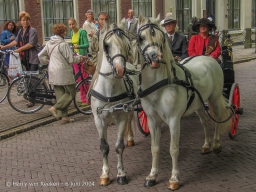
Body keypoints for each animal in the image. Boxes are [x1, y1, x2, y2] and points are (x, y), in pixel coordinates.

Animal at [89, 22, 138, 186]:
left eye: (127, 45)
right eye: (107, 45)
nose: (120, 69)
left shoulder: (121, 116)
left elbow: (118, 146)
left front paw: (121, 173)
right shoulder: (98, 119)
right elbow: (104, 147)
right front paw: (105, 174)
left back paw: (130, 138)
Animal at [136, 15, 234, 190]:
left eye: (161, 38)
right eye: (141, 37)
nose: (155, 57)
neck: (159, 85)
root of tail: (207, 58)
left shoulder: (174, 120)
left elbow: (174, 149)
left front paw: (174, 178)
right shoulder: (152, 120)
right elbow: (155, 148)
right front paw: (152, 175)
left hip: (215, 98)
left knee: (216, 120)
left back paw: (216, 145)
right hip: (199, 104)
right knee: (205, 122)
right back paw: (206, 145)